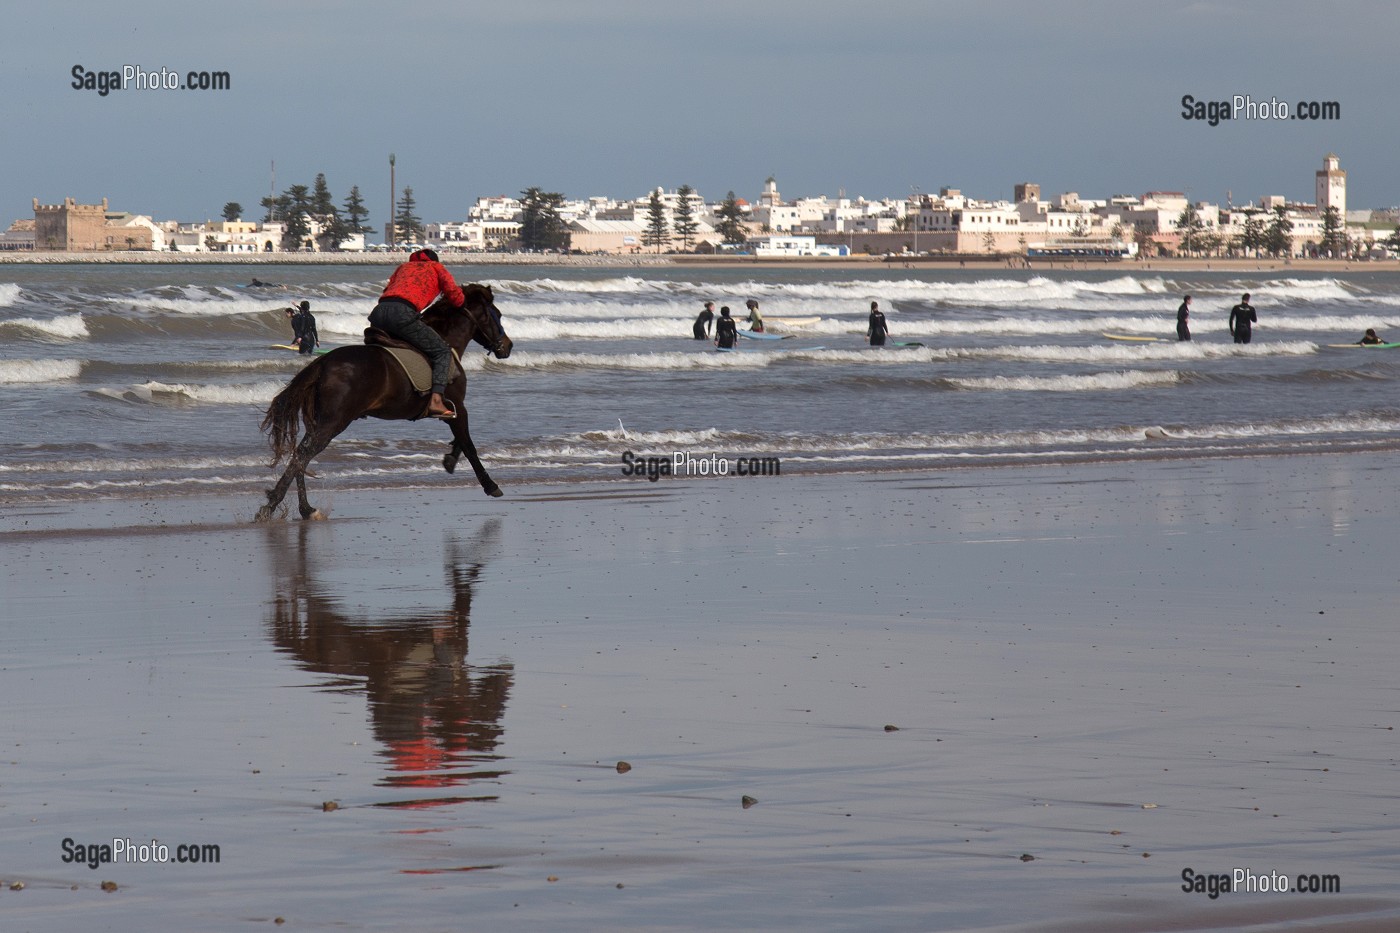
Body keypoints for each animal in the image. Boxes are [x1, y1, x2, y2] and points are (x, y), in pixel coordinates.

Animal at [254, 280, 512, 518]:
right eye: (498, 315)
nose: (507, 346)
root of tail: (323, 362)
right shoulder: (458, 406)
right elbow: (469, 445)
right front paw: (490, 485)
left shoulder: (454, 410)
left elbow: (462, 440)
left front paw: (449, 459)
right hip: (332, 423)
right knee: (301, 456)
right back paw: (273, 505)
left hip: (319, 423)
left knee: (300, 456)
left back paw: (305, 509)